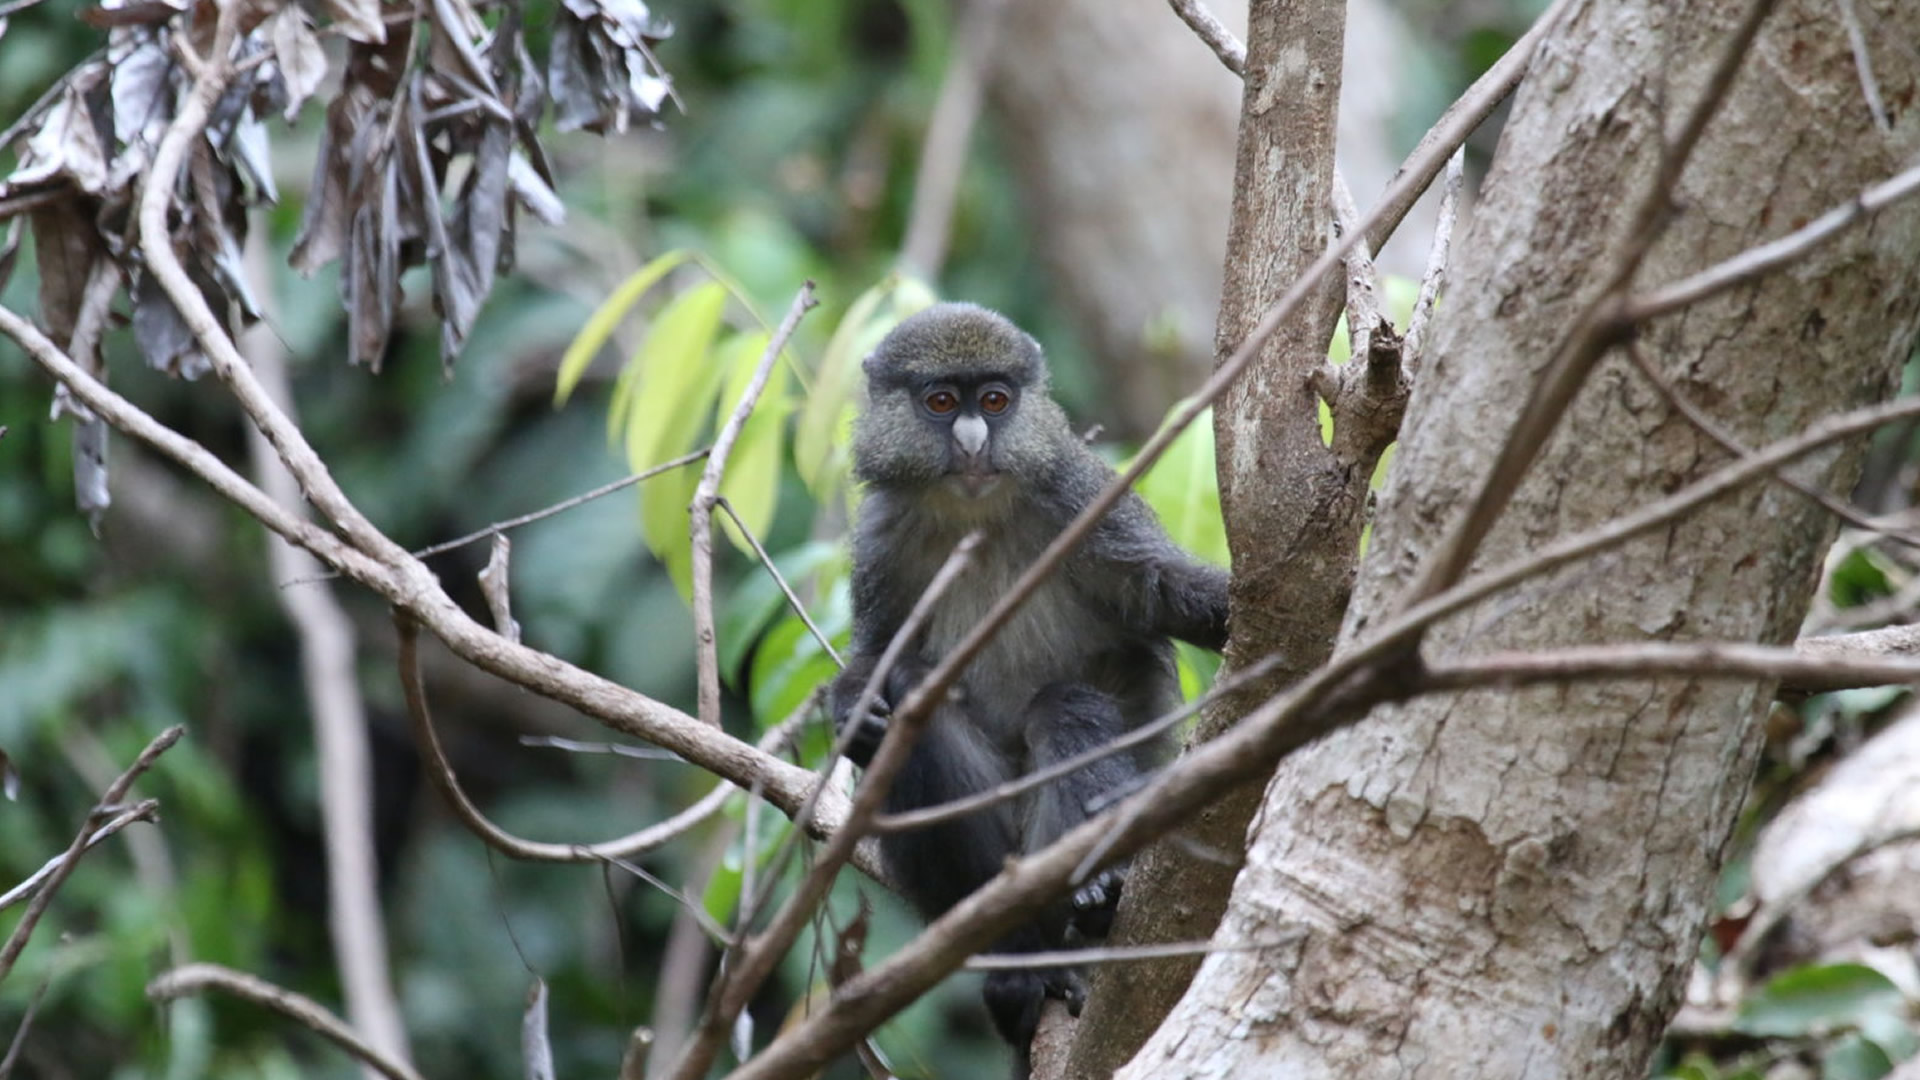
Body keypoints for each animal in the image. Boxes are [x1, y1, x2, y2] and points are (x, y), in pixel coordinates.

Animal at [825, 299, 1228, 1068]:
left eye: (995, 401)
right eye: (941, 402)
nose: (974, 441)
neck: (975, 513)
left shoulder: (1083, 500)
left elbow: (1162, 590)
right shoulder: (881, 540)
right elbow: (882, 656)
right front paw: (851, 708)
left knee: (1065, 706)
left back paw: (1095, 897)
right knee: (917, 697)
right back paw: (1019, 961)